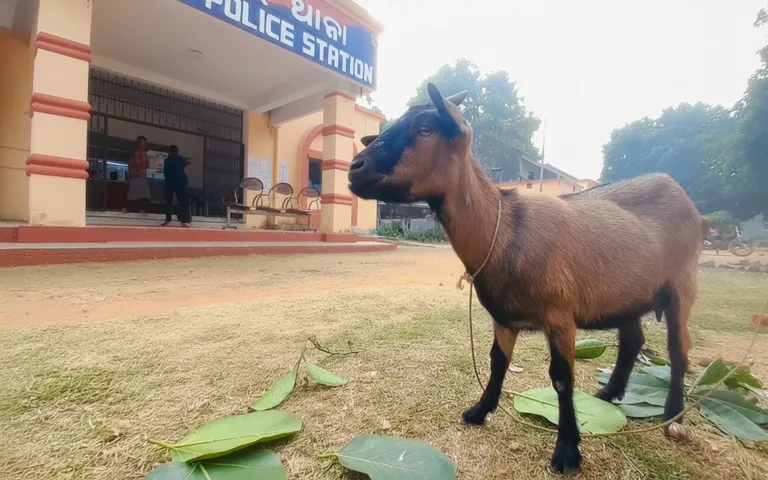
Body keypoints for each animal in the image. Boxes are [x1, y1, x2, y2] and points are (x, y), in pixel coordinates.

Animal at [348, 83, 706, 474]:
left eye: (425, 129)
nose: (354, 168)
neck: (504, 228)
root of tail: (679, 191)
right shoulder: (504, 318)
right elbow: (497, 362)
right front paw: (479, 411)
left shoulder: (560, 316)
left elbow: (562, 378)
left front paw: (567, 451)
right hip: (626, 294)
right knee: (632, 340)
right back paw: (609, 394)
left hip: (682, 284)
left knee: (679, 349)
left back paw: (673, 416)